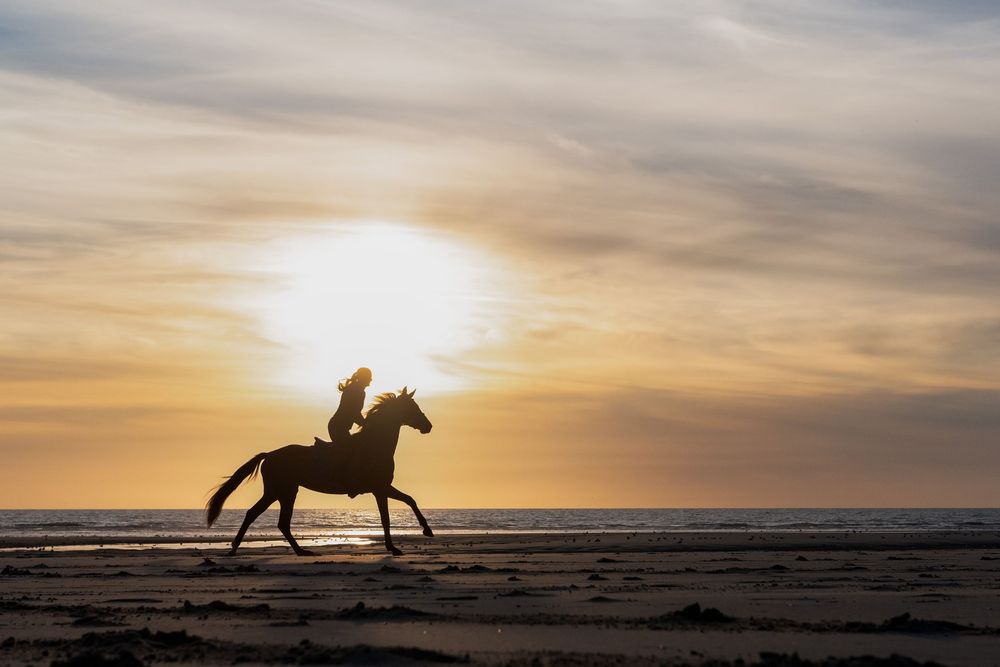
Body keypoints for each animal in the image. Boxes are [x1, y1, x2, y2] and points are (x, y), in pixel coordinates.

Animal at [205, 387, 433, 556]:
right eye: (412, 406)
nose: (428, 426)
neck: (375, 444)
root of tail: (269, 455)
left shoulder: (383, 487)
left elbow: (410, 500)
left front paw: (426, 530)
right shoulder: (380, 489)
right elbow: (387, 517)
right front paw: (394, 547)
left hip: (284, 492)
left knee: (273, 520)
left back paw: (297, 550)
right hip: (280, 491)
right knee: (262, 516)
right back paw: (239, 548)